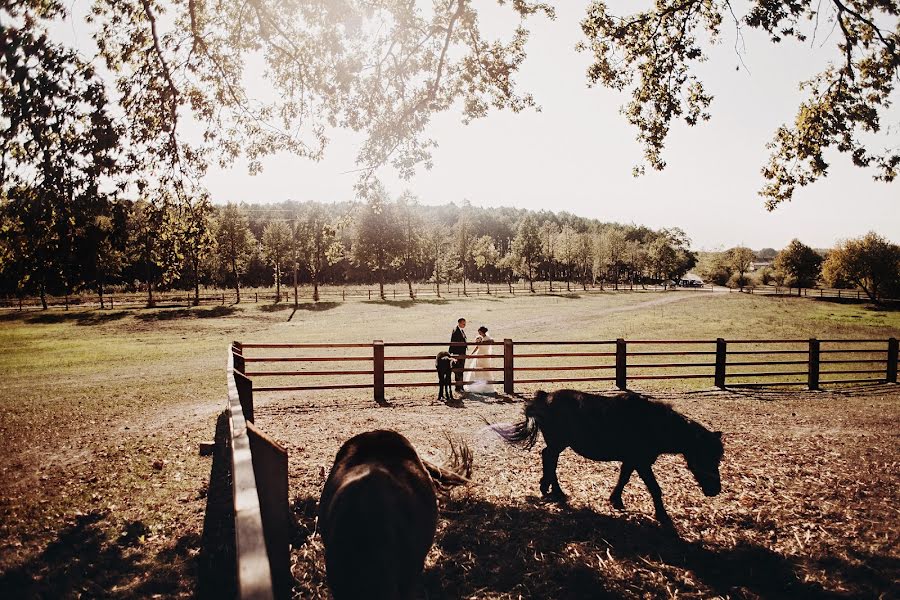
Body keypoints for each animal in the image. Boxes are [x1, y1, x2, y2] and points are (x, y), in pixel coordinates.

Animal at [492, 390, 724, 524]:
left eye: (717, 457)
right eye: (706, 456)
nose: (715, 490)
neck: (653, 423)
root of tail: (543, 397)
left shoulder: (632, 460)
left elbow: (624, 478)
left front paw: (616, 500)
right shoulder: (641, 461)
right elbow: (654, 488)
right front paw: (662, 515)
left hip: (558, 444)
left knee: (548, 459)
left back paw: (549, 488)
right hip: (558, 443)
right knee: (549, 459)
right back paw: (554, 490)